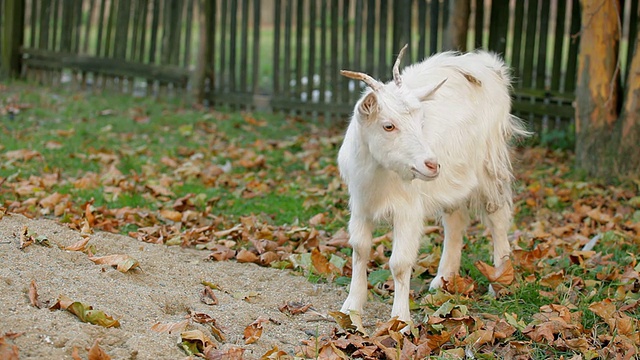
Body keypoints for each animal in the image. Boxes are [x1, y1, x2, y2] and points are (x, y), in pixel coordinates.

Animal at [338, 45, 528, 324]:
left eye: (421, 122)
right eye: (388, 125)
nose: (432, 164)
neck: (380, 176)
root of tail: (486, 63)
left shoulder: (408, 210)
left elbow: (399, 263)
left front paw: (401, 321)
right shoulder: (361, 205)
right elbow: (360, 250)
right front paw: (351, 308)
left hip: (490, 164)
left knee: (498, 217)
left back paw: (500, 281)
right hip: (455, 179)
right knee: (455, 221)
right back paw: (443, 279)